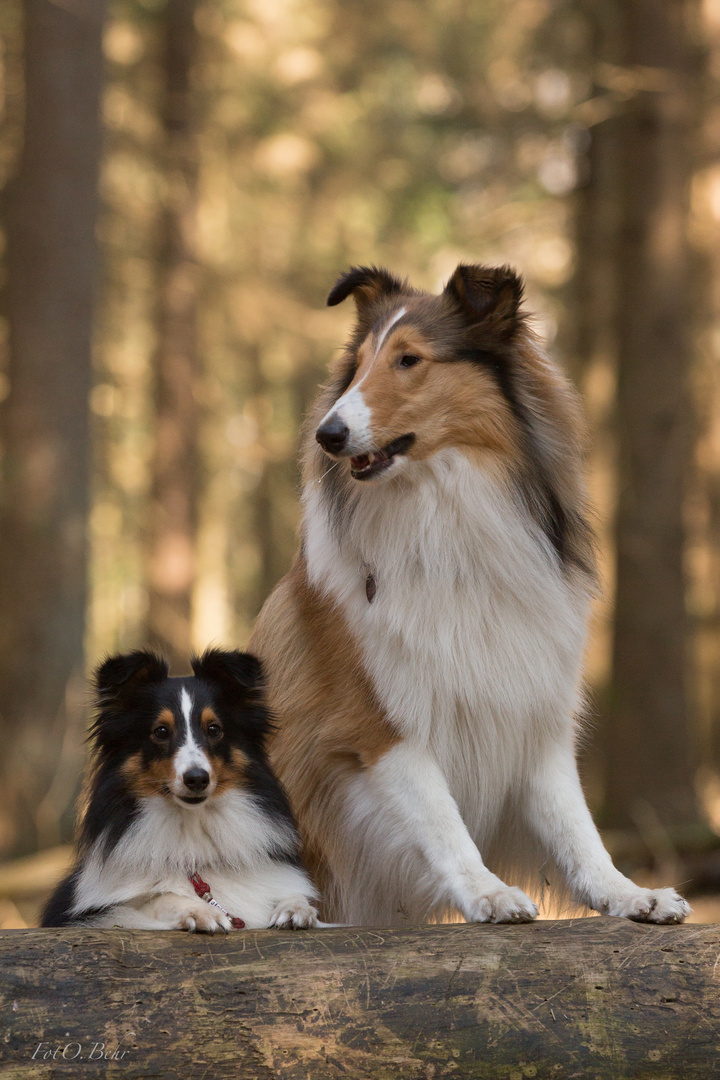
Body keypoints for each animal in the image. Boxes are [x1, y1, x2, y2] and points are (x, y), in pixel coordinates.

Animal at [41, 643, 317, 933]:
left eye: (214, 729)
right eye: (161, 731)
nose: (197, 779)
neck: (192, 826)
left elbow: (292, 897)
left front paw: (295, 909)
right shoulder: (94, 914)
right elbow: (160, 897)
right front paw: (201, 911)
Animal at [249, 263, 690, 928]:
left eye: (409, 360)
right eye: (357, 367)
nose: (328, 434)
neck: (446, 520)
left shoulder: (530, 708)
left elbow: (575, 826)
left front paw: (628, 893)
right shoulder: (379, 722)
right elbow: (441, 819)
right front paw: (488, 891)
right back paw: (284, 906)